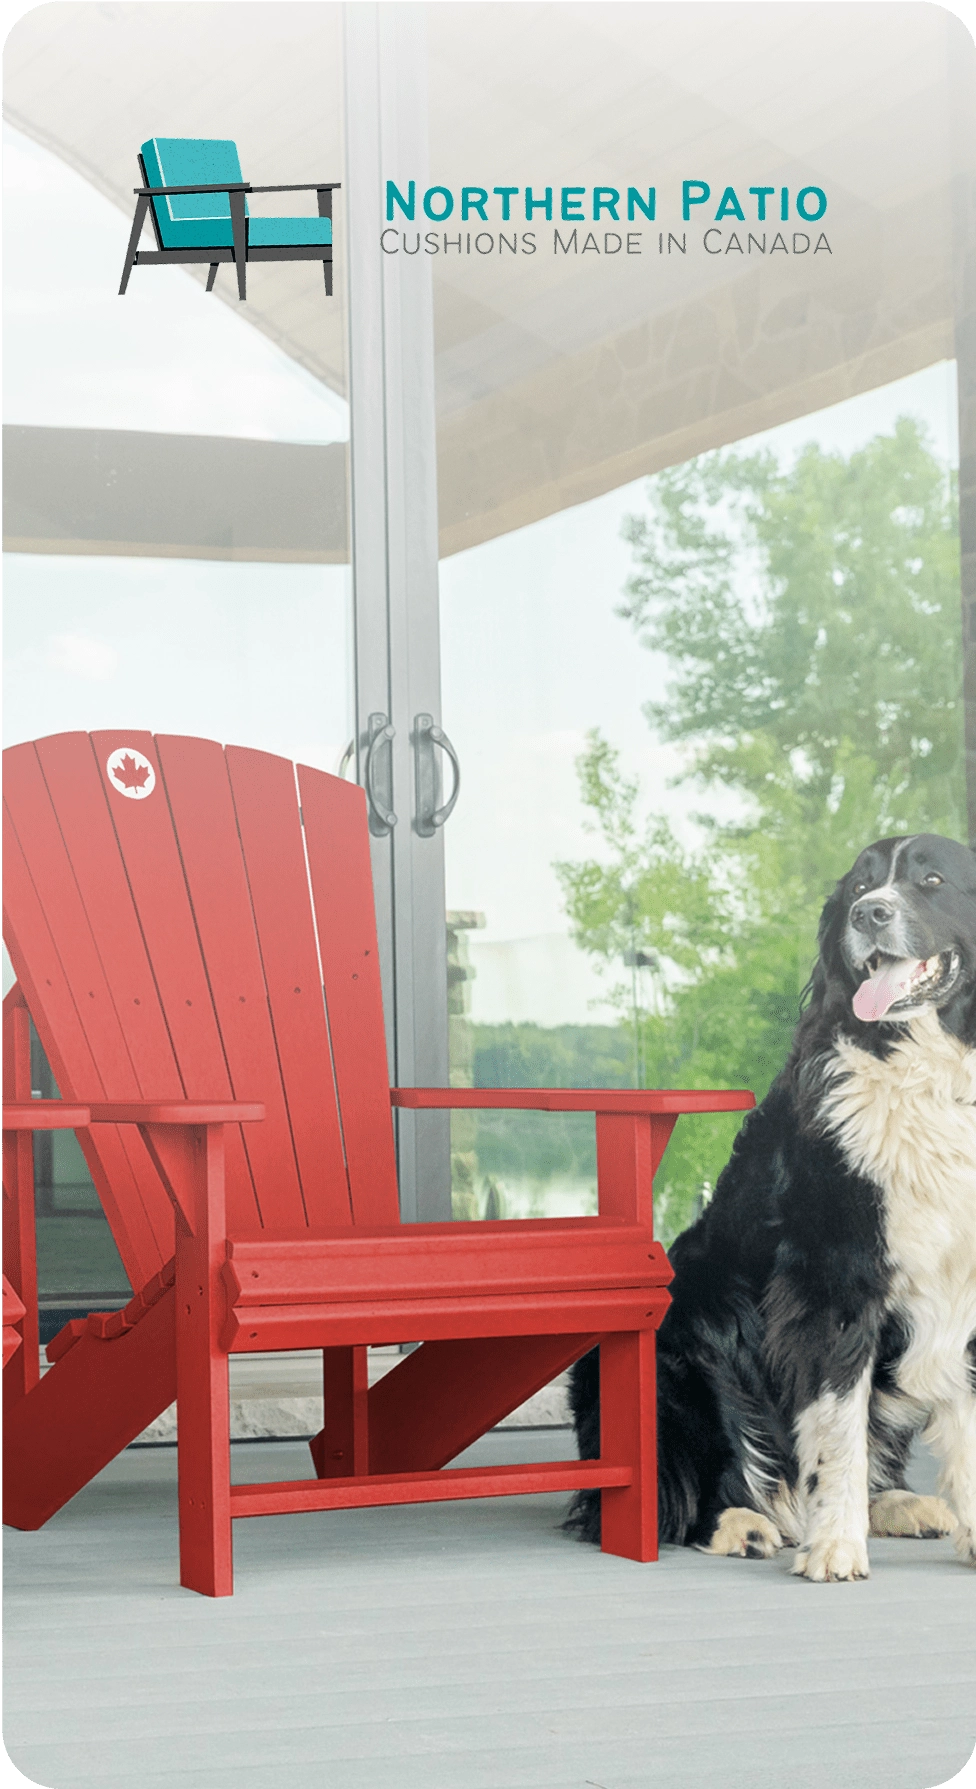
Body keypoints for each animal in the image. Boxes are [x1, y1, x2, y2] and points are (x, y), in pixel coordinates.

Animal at [567, 832, 976, 1580]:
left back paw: (899, 1504)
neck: (926, 1074)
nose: (869, 914)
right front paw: (835, 1547)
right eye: (859, 889)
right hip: (686, 1344)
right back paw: (744, 1522)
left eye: (932, 880)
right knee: (689, 1483)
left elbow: (961, 1423)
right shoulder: (833, 1280)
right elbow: (836, 1427)